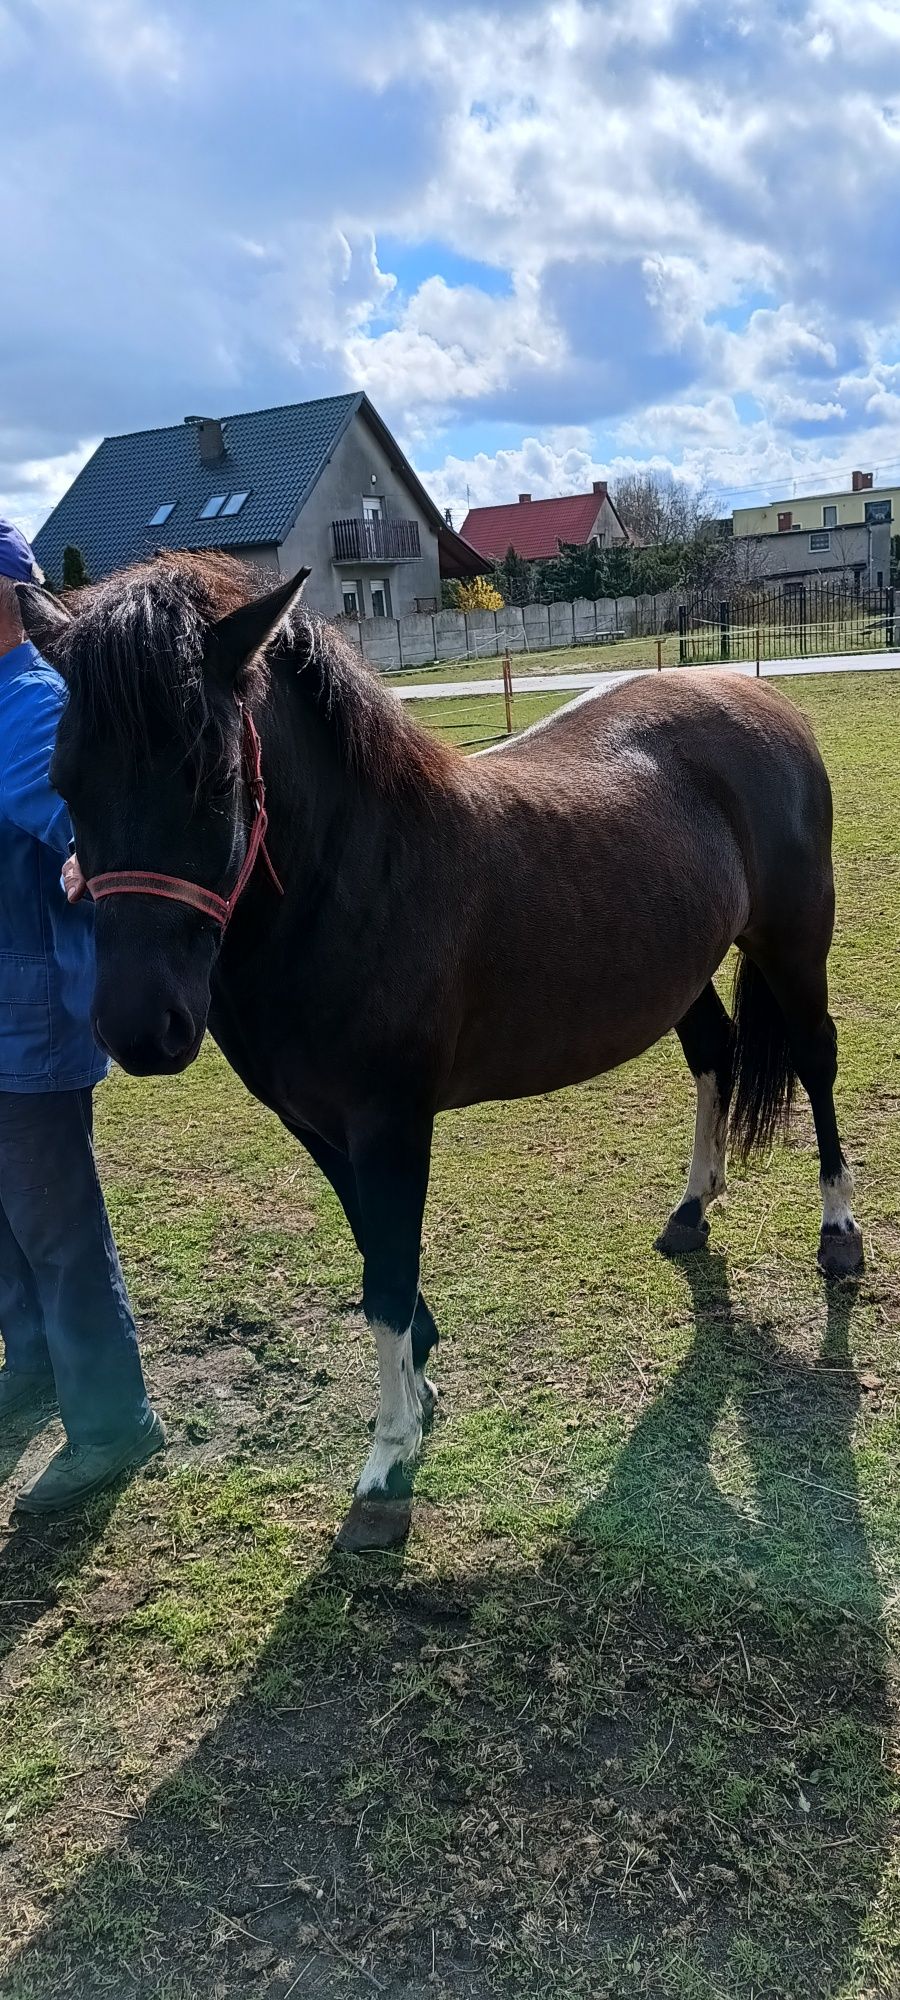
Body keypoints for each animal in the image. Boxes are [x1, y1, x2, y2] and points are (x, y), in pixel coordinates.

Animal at [19, 556, 864, 1552]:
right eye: (64, 781)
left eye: (213, 775)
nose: (140, 1030)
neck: (354, 880)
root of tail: (760, 697)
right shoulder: (321, 1129)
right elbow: (375, 1257)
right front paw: (418, 1388)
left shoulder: (393, 1125)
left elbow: (387, 1276)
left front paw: (387, 1465)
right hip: (686, 964)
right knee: (713, 1053)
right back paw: (693, 1207)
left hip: (793, 942)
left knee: (815, 1058)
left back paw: (839, 1235)